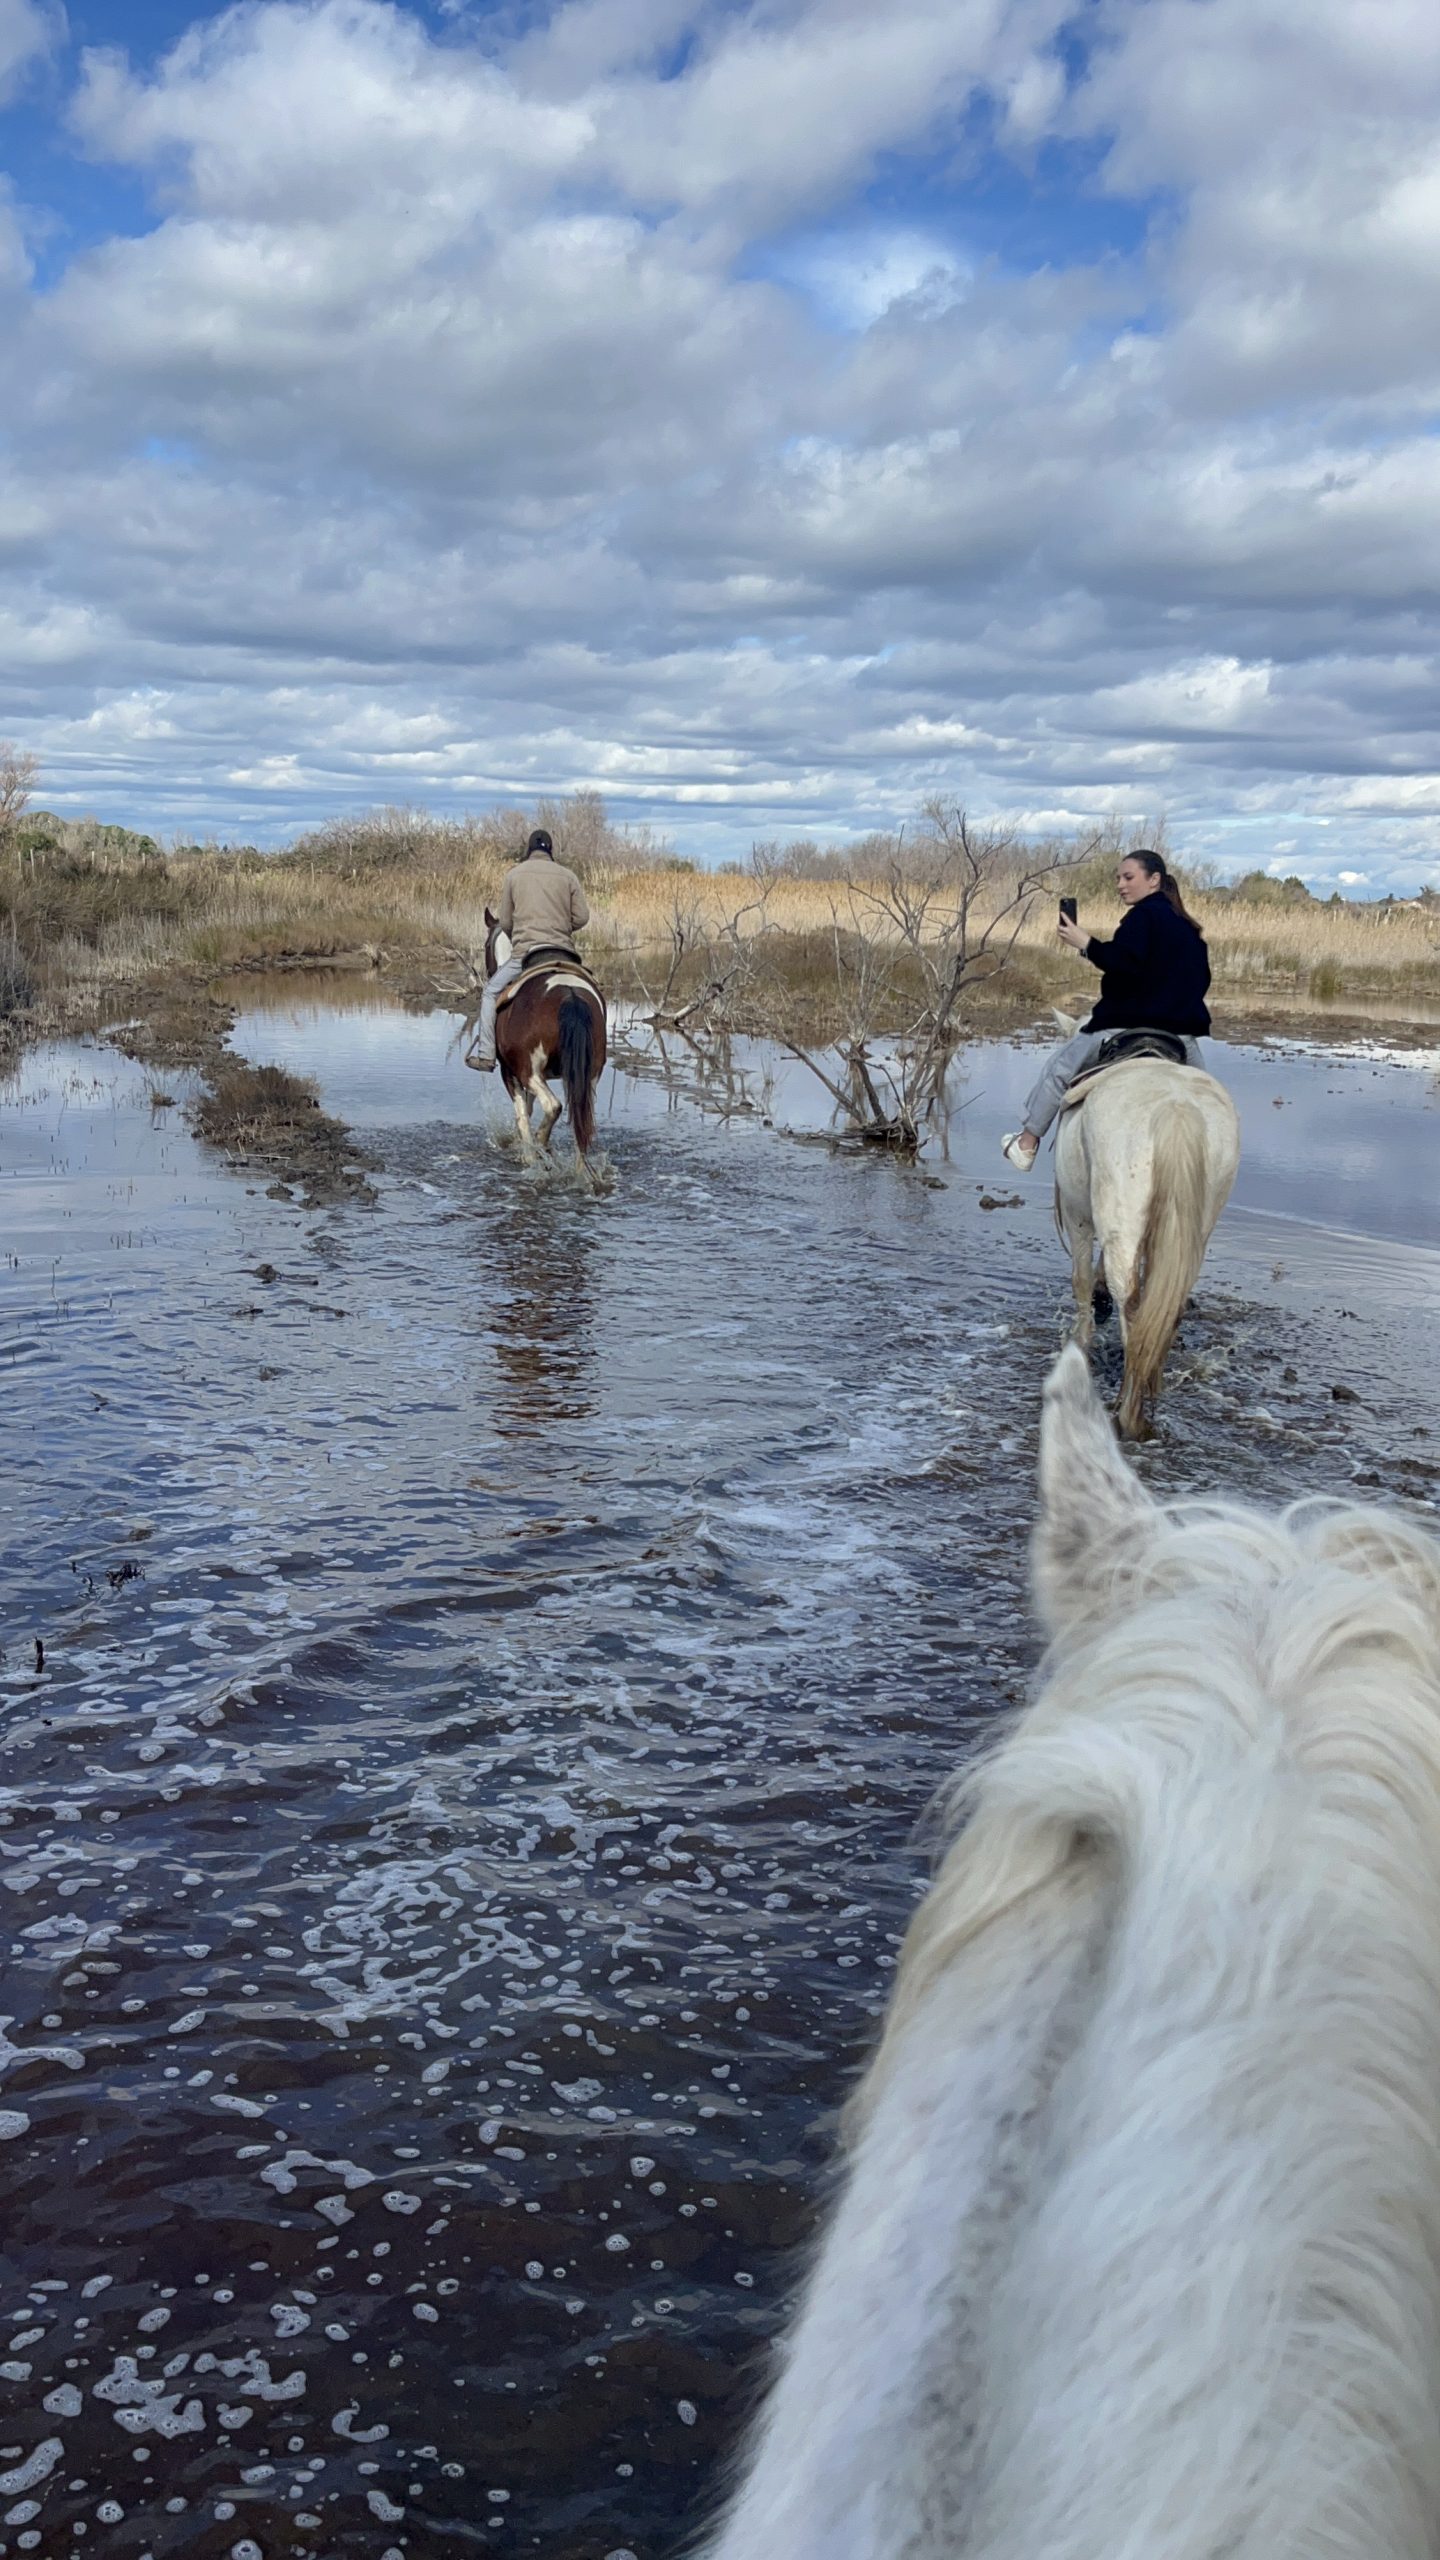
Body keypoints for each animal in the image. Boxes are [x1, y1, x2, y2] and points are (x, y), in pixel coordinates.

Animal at [470, 911, 606, 1173]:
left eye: (485, 945)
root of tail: (571, 996)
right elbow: (529, 1108)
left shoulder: (510, 1072)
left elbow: (523, 1114)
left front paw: (527, 1154)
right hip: (589, 1076)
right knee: (582, 1121)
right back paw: (580, 1171)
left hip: (529, 1072)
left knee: (554, 1106)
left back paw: (540, 1147)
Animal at [1051, 1016, 1239, 1438]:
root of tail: (1176, 1107)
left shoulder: (1078, 1214)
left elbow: (1080, 1279)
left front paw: (1082, 1340)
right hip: (1193, 1233)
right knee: (1163, 1307)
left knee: (1133, 1305)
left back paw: (1127, 1412)